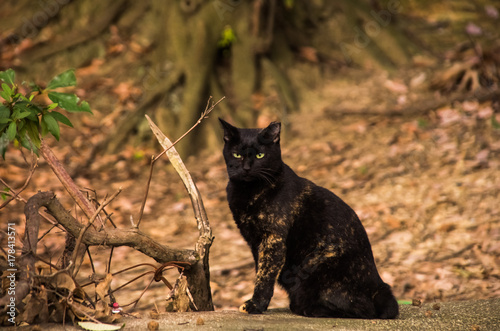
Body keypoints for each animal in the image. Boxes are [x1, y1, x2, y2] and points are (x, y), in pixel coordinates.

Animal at [219, 119, 398, 320]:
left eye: (259, 155)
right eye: (237, 154)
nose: (247, 168)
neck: (247, 192)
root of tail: (379, 284)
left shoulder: (273, 239)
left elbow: (265, 275)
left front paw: (256, 305)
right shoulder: (253, 241)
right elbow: (260, 270)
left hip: (318, 263)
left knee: (363, 309)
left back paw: (307, 308)